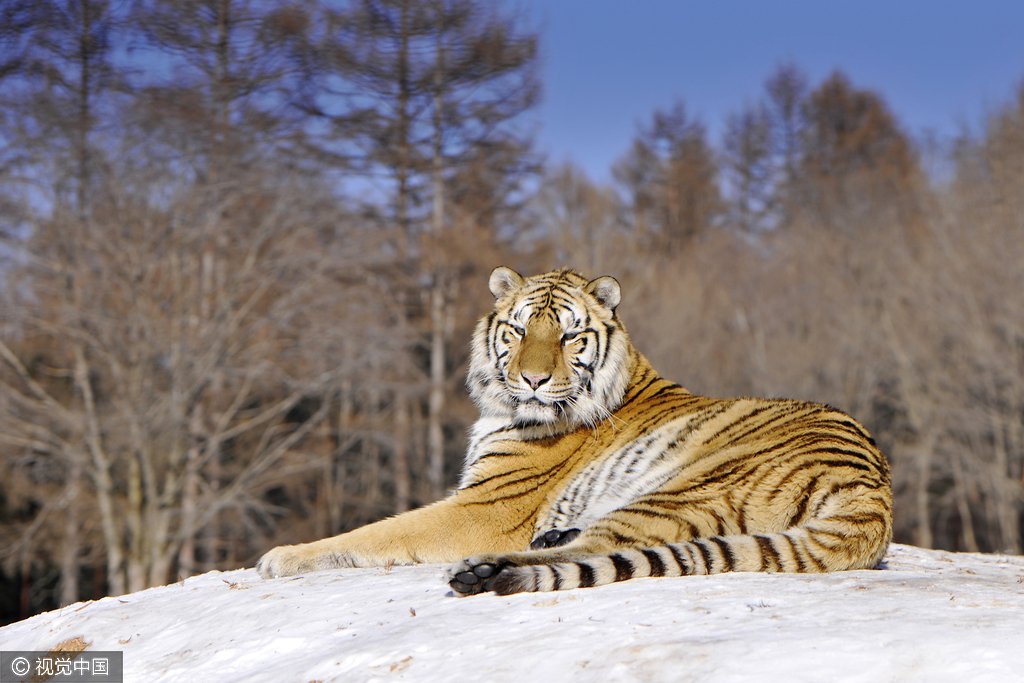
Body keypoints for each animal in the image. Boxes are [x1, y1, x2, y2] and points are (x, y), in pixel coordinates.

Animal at [260, 268, 892, 598]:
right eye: (518, 330)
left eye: (568, 336)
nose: (533, 379)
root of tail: (873, 496)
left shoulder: (483, 507)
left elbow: (377, 531)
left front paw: (282, 557)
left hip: (686, 485)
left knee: (600, 550)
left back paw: (486, 571)